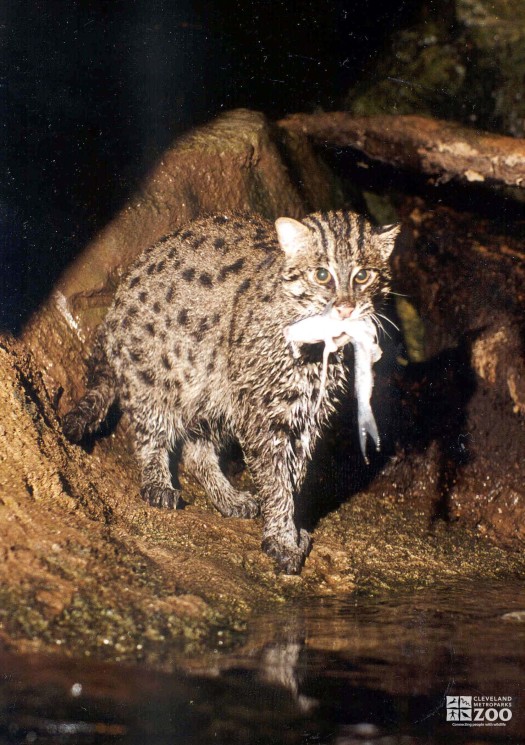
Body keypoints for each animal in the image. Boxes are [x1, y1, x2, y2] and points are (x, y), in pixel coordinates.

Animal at [63, 212, 398, 572]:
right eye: (322, 275)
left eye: (363, 275)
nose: (346, 308)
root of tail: (114, 305)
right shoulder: (263, 415)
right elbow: (276, 481)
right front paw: (282, 538)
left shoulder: (304, 415)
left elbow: (293, 478)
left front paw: (291, 530)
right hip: (155, 377)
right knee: (151, 432)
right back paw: (158, 483)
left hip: (212, 394)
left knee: (197, 453)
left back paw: (229, 498)